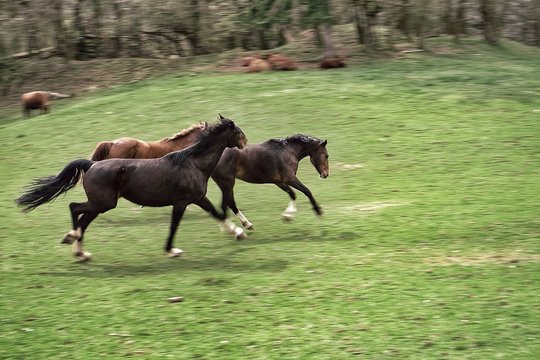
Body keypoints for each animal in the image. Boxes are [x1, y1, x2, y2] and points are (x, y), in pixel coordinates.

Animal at [16, 116, 249, 260]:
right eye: (238, 131)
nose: (245, 144)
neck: (193, 163)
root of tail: (91, 165)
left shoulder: (197, 198)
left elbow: (216, 213)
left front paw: (237, 232)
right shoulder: (182, 202)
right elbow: (175, 226)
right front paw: (171, 250)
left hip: (100, 204)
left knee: (83, 219)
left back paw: (81, 253)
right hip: (103, 203)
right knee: (75, 208)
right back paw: (71, 238)